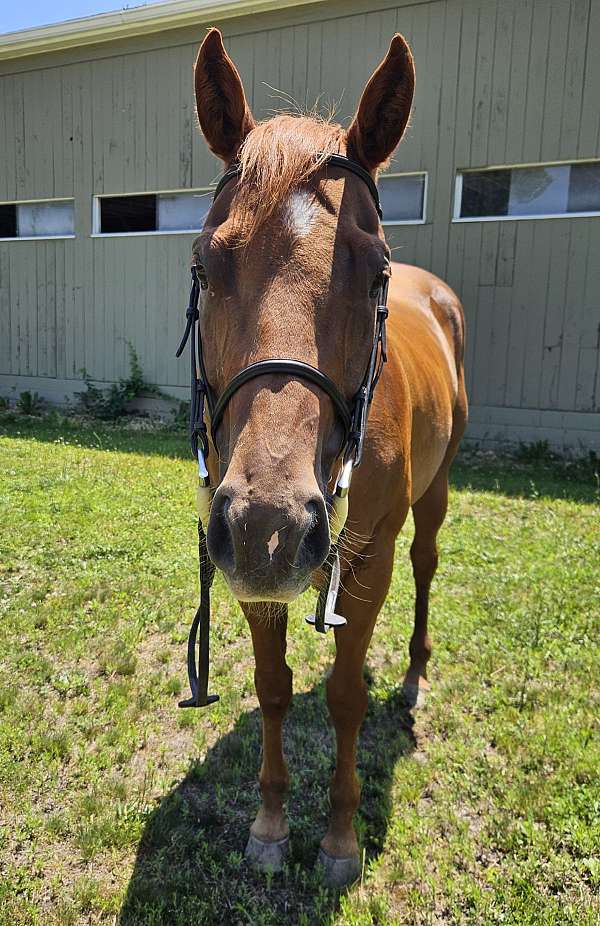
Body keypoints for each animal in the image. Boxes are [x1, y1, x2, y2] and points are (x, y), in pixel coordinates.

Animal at [189, 27, 468, 887]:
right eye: (205, 265)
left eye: (374, 270)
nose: (272, 524)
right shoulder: (248, 569)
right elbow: (274, 688)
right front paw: (272, 826)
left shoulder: (366, 560)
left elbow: (345, 696)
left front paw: (339, 840)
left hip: (435, 495)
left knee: (427, 566)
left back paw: (413, 675)